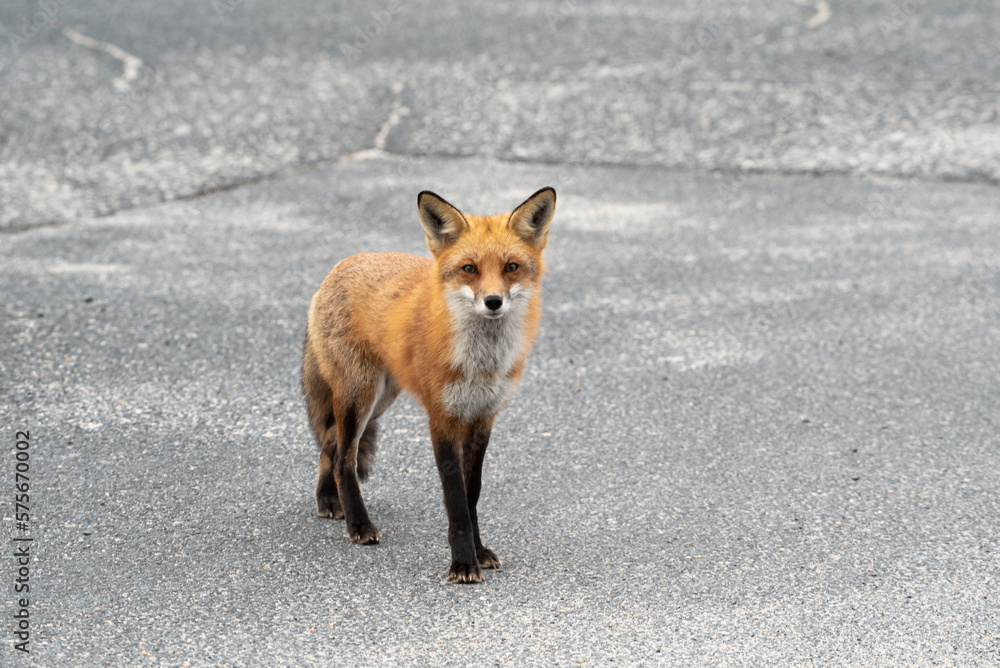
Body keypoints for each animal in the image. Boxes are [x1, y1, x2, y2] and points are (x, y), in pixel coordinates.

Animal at [301, 187, 556, 583]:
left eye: (511, 267)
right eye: (469, 269)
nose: (493, 302)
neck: (480, 363)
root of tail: (342, 263)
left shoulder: (482, 418)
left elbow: (472, 495)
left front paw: (478, 552)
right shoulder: (443, 418)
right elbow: (455, 500)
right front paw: (463, 563)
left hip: (381, 399)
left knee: (330, 440)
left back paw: (328, 500)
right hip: (360, 396)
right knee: (344, 457)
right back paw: (359, 524)